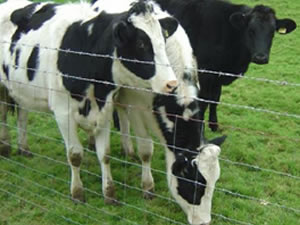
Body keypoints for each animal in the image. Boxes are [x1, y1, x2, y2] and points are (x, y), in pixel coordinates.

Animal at [0, 0, 180, 204]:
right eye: (141, 44)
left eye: (163, 41)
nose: (171, 84)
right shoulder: (63, 113)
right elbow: (75, 155)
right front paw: (77, 193)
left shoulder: (105, 109)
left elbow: (105, 154)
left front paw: (109, 193)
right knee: (3, 113)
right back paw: (5, 146)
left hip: (21, 88)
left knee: (22, 115)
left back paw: (24, 148)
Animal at [91, 0, 225, 224]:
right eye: (193, 184)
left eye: (214, 182)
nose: (204, 222)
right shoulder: (136, 103)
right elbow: (146, 149)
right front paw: (147, 187)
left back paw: (128, 149)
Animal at [154, 0, 296, 131]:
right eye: (251, 30)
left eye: (272, 32)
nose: (260, 57)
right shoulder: (205, 74)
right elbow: (204, 102)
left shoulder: (219, 74)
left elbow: (215, 99)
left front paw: (214, 124)